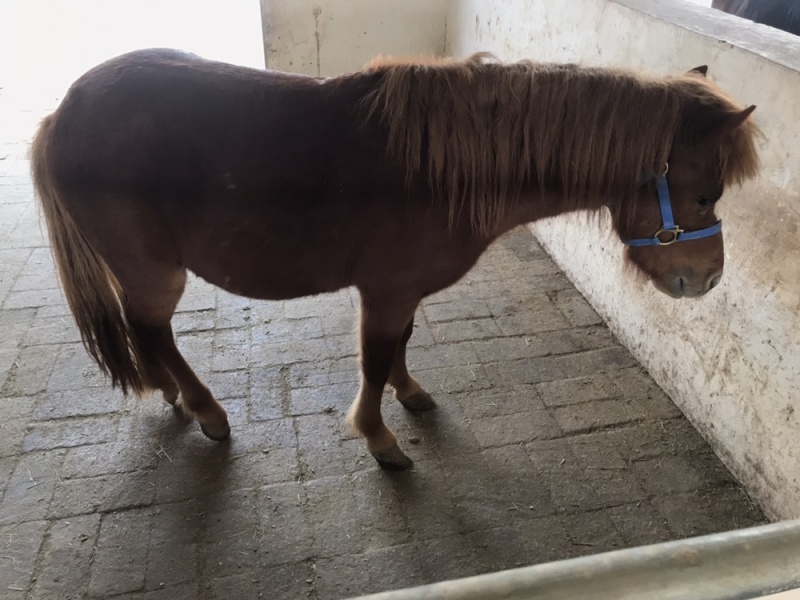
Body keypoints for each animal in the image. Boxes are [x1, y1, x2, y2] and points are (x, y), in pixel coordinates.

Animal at [30, 49, 760, 470]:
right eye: (704, 193)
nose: (707, 279)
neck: (440, 169)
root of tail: (62, 114)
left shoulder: (403, 293)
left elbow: (402, 348)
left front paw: (411, 395)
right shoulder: (383, 292)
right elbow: (375, 362)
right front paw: (380, 440)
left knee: (146, 334)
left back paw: (176, 395)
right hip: (156, 272)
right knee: (153, 330)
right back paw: (206, 410)